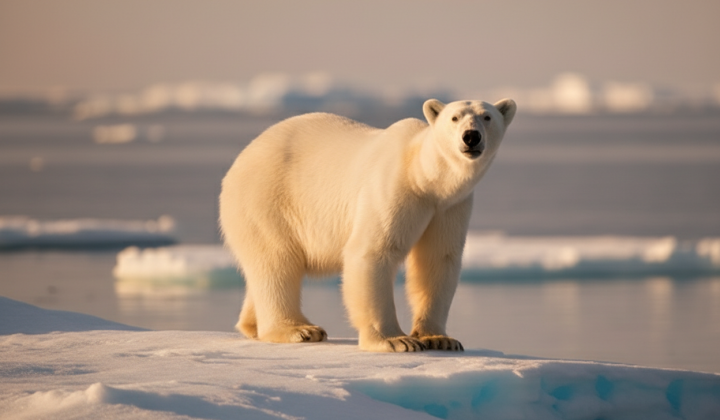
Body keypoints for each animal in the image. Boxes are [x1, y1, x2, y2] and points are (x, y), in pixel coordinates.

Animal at [219, 98, 516, 352]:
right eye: (454, 118)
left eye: (487, 116)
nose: (471, 136)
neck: (425, 177)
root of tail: (238, 162)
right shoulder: (395, 187)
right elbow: (374, 251)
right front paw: (396, 340)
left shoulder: (450, 207)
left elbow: (438, 260)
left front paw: (439, 338)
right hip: (267, 201)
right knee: (277, 261)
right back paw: (300, 329)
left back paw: (253, 324)